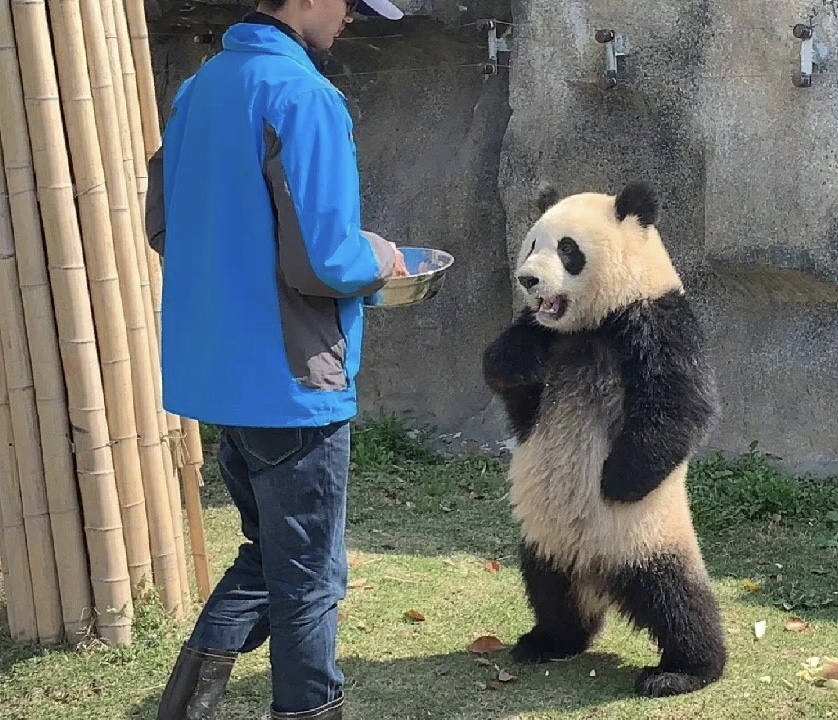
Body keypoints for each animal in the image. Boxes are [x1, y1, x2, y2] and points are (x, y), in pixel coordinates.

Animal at [482, 180, 726, 698]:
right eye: (532, 244)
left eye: (567, 249)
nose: (527, 280)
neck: (592, 324)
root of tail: (597, 571)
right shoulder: (548, 338)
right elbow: (515, 389)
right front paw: (520, 360)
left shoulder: (655, 318)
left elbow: (679, 405)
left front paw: (617, 480)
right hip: (544, 538)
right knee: (549, 589)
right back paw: (549, 641)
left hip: (647, 537)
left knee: (677, 600)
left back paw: (683, 670)